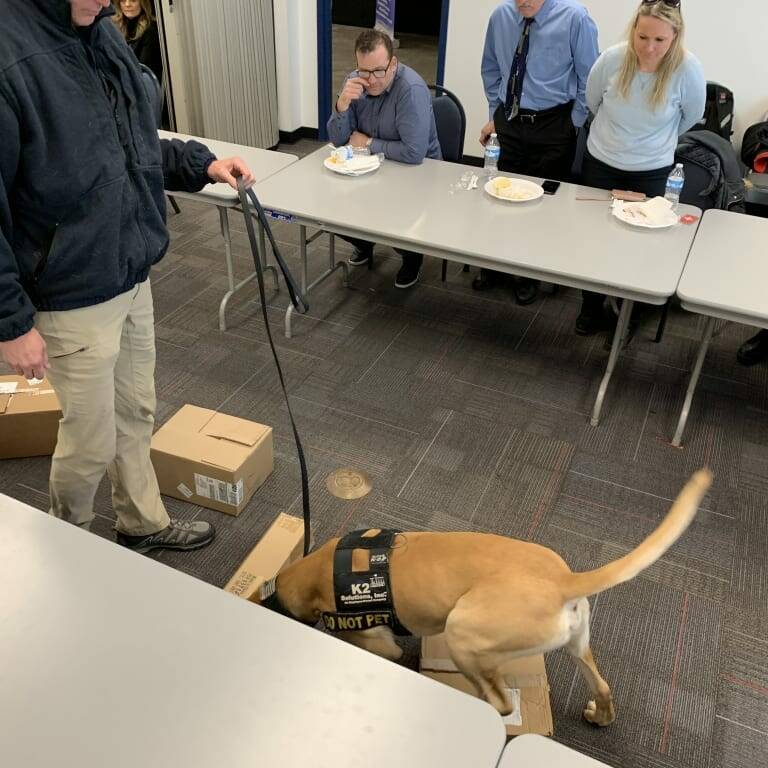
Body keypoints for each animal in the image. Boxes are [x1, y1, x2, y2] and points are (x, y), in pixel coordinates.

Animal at [249, 468, 712, 728]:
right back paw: (600, 716)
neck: (321, 569)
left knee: (501, 703)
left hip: (463, 634)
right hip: (577, 644)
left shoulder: (376, 640)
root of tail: (564, 580)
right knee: (602, 686)